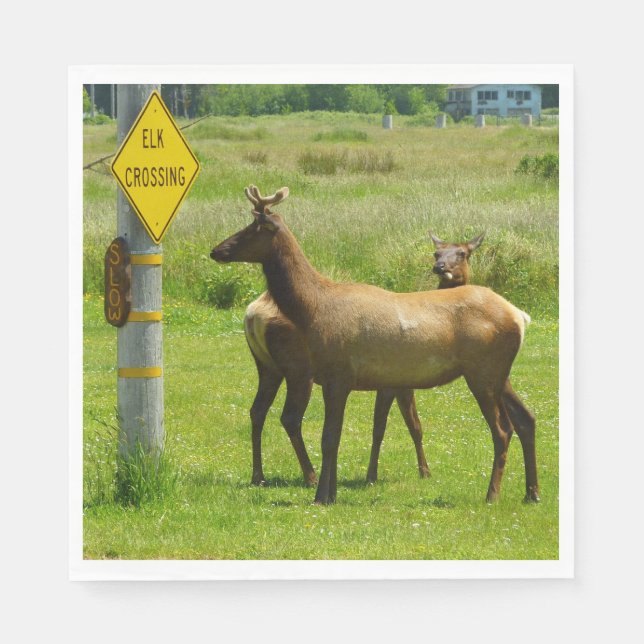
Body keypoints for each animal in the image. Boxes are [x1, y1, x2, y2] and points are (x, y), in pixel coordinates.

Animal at [211, 186, 539, 505]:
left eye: (252, 228)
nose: (216, 250)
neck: (313, 311)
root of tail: (520, 316)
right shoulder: (338, 378)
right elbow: (338, 436)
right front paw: (332, 492)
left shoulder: (338, 374)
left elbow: (330, 438)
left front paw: (322, 496)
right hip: (498, 374)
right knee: (526, 418)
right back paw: (531, 492)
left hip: (482, 371)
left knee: (503, 429)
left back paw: (492, 495)